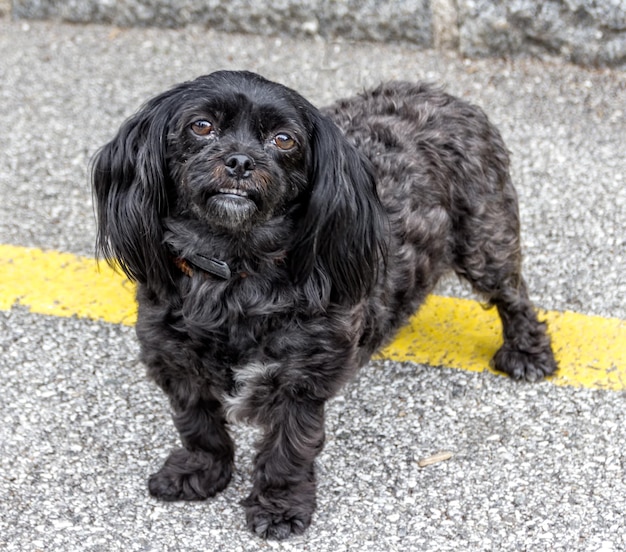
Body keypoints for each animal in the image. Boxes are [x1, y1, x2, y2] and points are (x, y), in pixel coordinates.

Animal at [91, 69, 552, 540]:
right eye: (201, 126)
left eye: (283, 139)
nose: (240, 161)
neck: (234, 271)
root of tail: (443, 95)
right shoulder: (176, 363)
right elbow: (199, 427)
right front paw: (201, 472)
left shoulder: (301, 380)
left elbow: (288, 450)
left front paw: (279, 507)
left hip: (485, 238)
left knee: (513, 294)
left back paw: (527, 353)